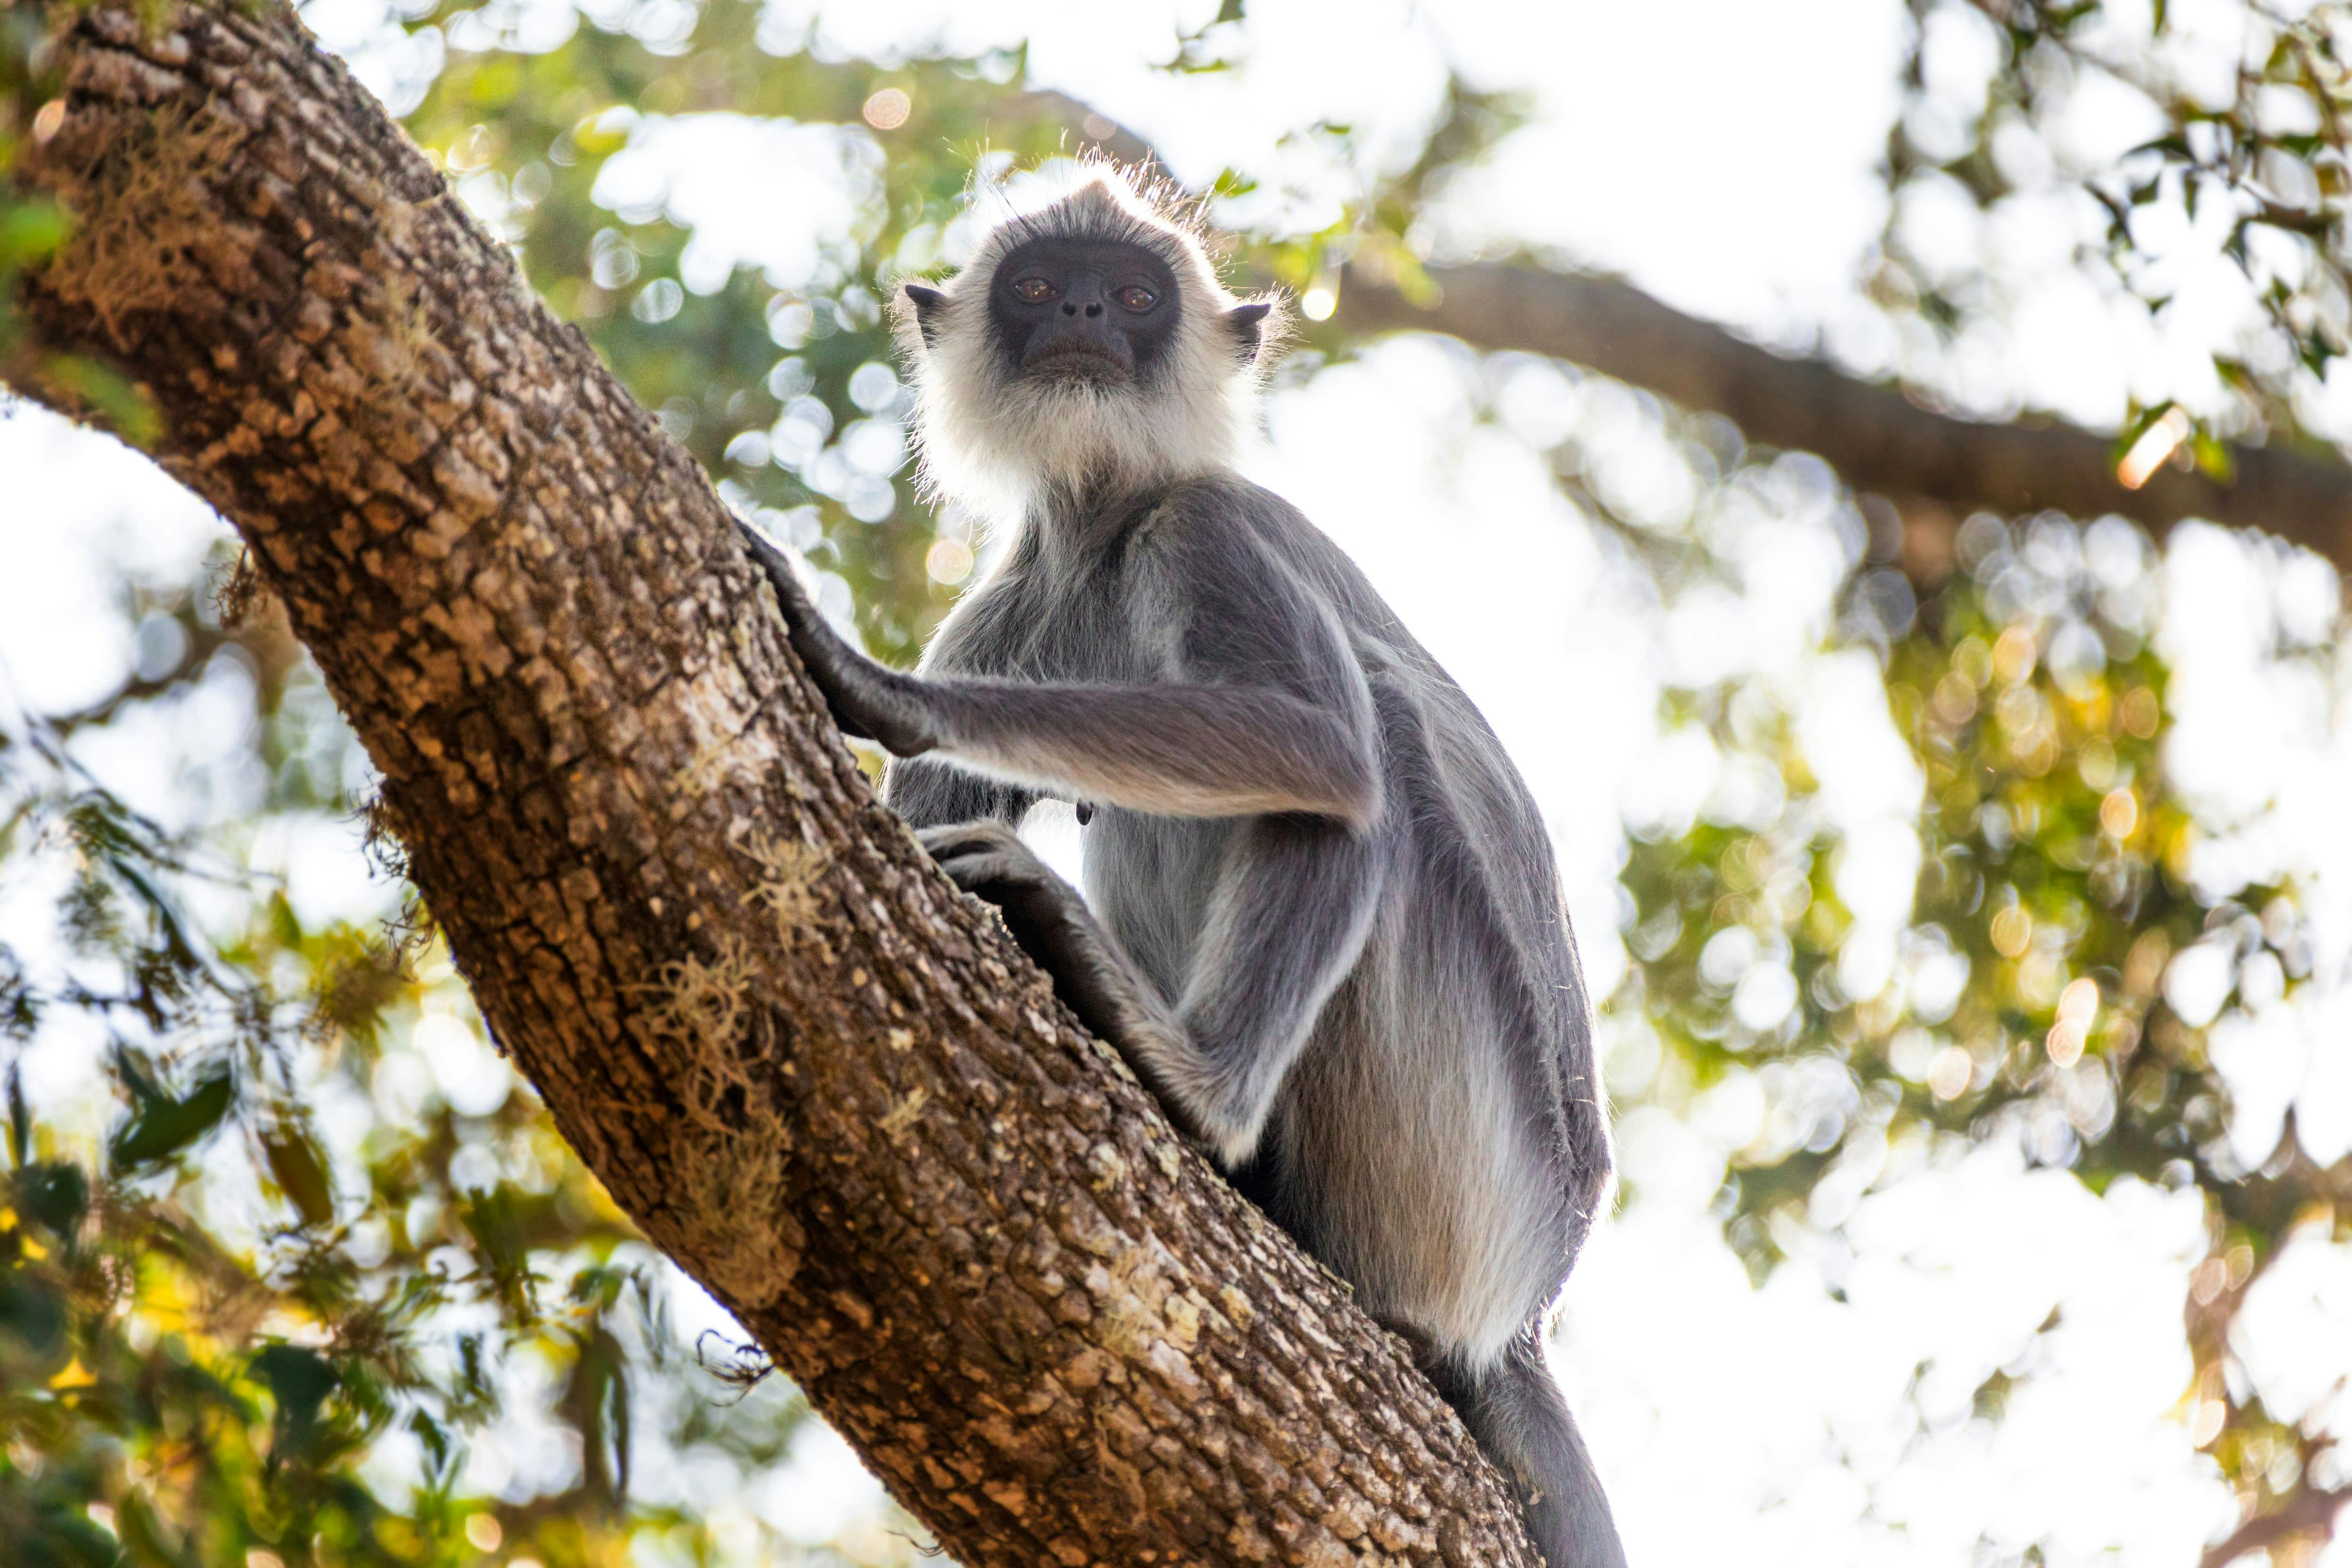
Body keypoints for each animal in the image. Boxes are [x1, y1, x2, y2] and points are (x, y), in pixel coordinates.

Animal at [743, 171, 1628, 1568]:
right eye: (1041, 287)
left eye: (1135, 292)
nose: (1088, 315)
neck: (1107, 528)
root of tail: (1529, 1305)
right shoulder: (1011, 602)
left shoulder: (1207, 528)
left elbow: (1323, 750)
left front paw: (874, 682)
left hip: (1456, 1160)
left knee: (1371, 745)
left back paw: (1199, 1090)